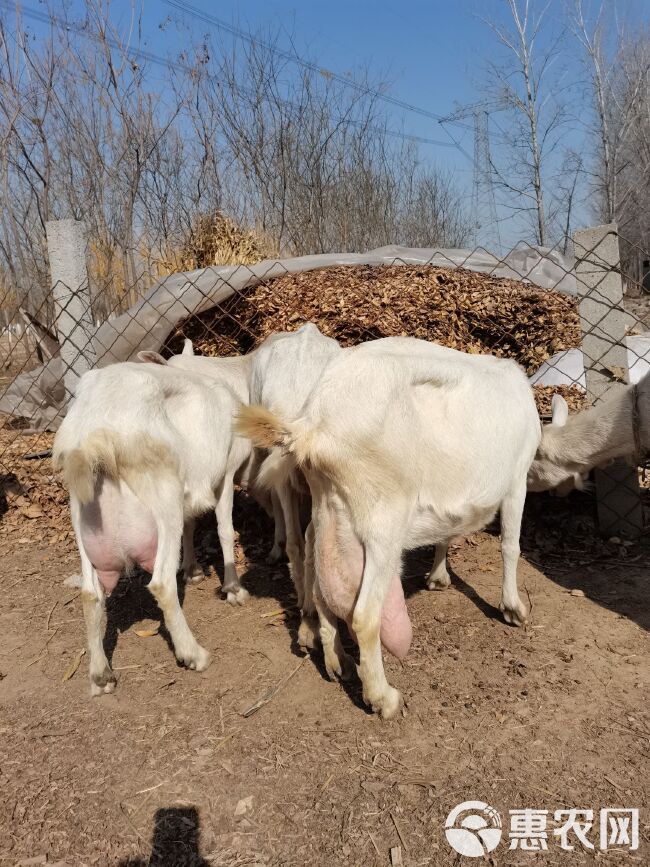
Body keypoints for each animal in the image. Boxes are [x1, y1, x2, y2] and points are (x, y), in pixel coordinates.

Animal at [54, 362, 251, 696]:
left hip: (82, 517)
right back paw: (193, 654)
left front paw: (193, 570)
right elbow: (225, 529)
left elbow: (191, 525)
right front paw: (233, 588)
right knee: (161, 584)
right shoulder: (226, 472)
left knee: (90, 594)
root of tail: (97, 430)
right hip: (164, 498)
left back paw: (100, 675)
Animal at [235, 338, 540, 720]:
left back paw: (337, 662)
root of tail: (313, 426)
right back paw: (382, 698)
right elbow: (511, 545)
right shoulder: (517, 479)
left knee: (319, 583)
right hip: (383, 523)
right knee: (365, 615)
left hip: (330, 511)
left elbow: (446, 534)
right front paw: (513, 608)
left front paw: (438, 577)